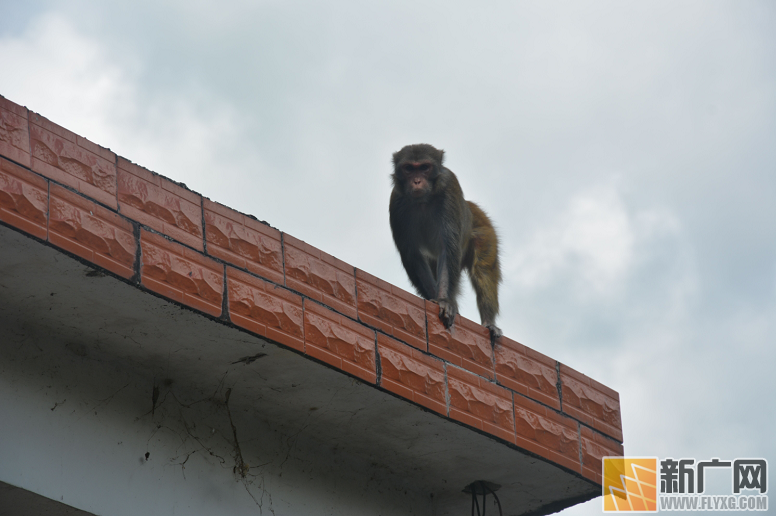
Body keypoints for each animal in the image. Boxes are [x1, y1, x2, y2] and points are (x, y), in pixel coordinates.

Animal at [388, 143, 504, 340]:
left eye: (424, 167)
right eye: (409, 168)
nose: (417, 181)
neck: (423, 200)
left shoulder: (450, 187)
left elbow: (448, 248)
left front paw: (444, 301)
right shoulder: (396, 201)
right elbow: (413, 255)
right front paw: (437, 300)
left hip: (484, 228)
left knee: (482, 270)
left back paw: (489, 322)